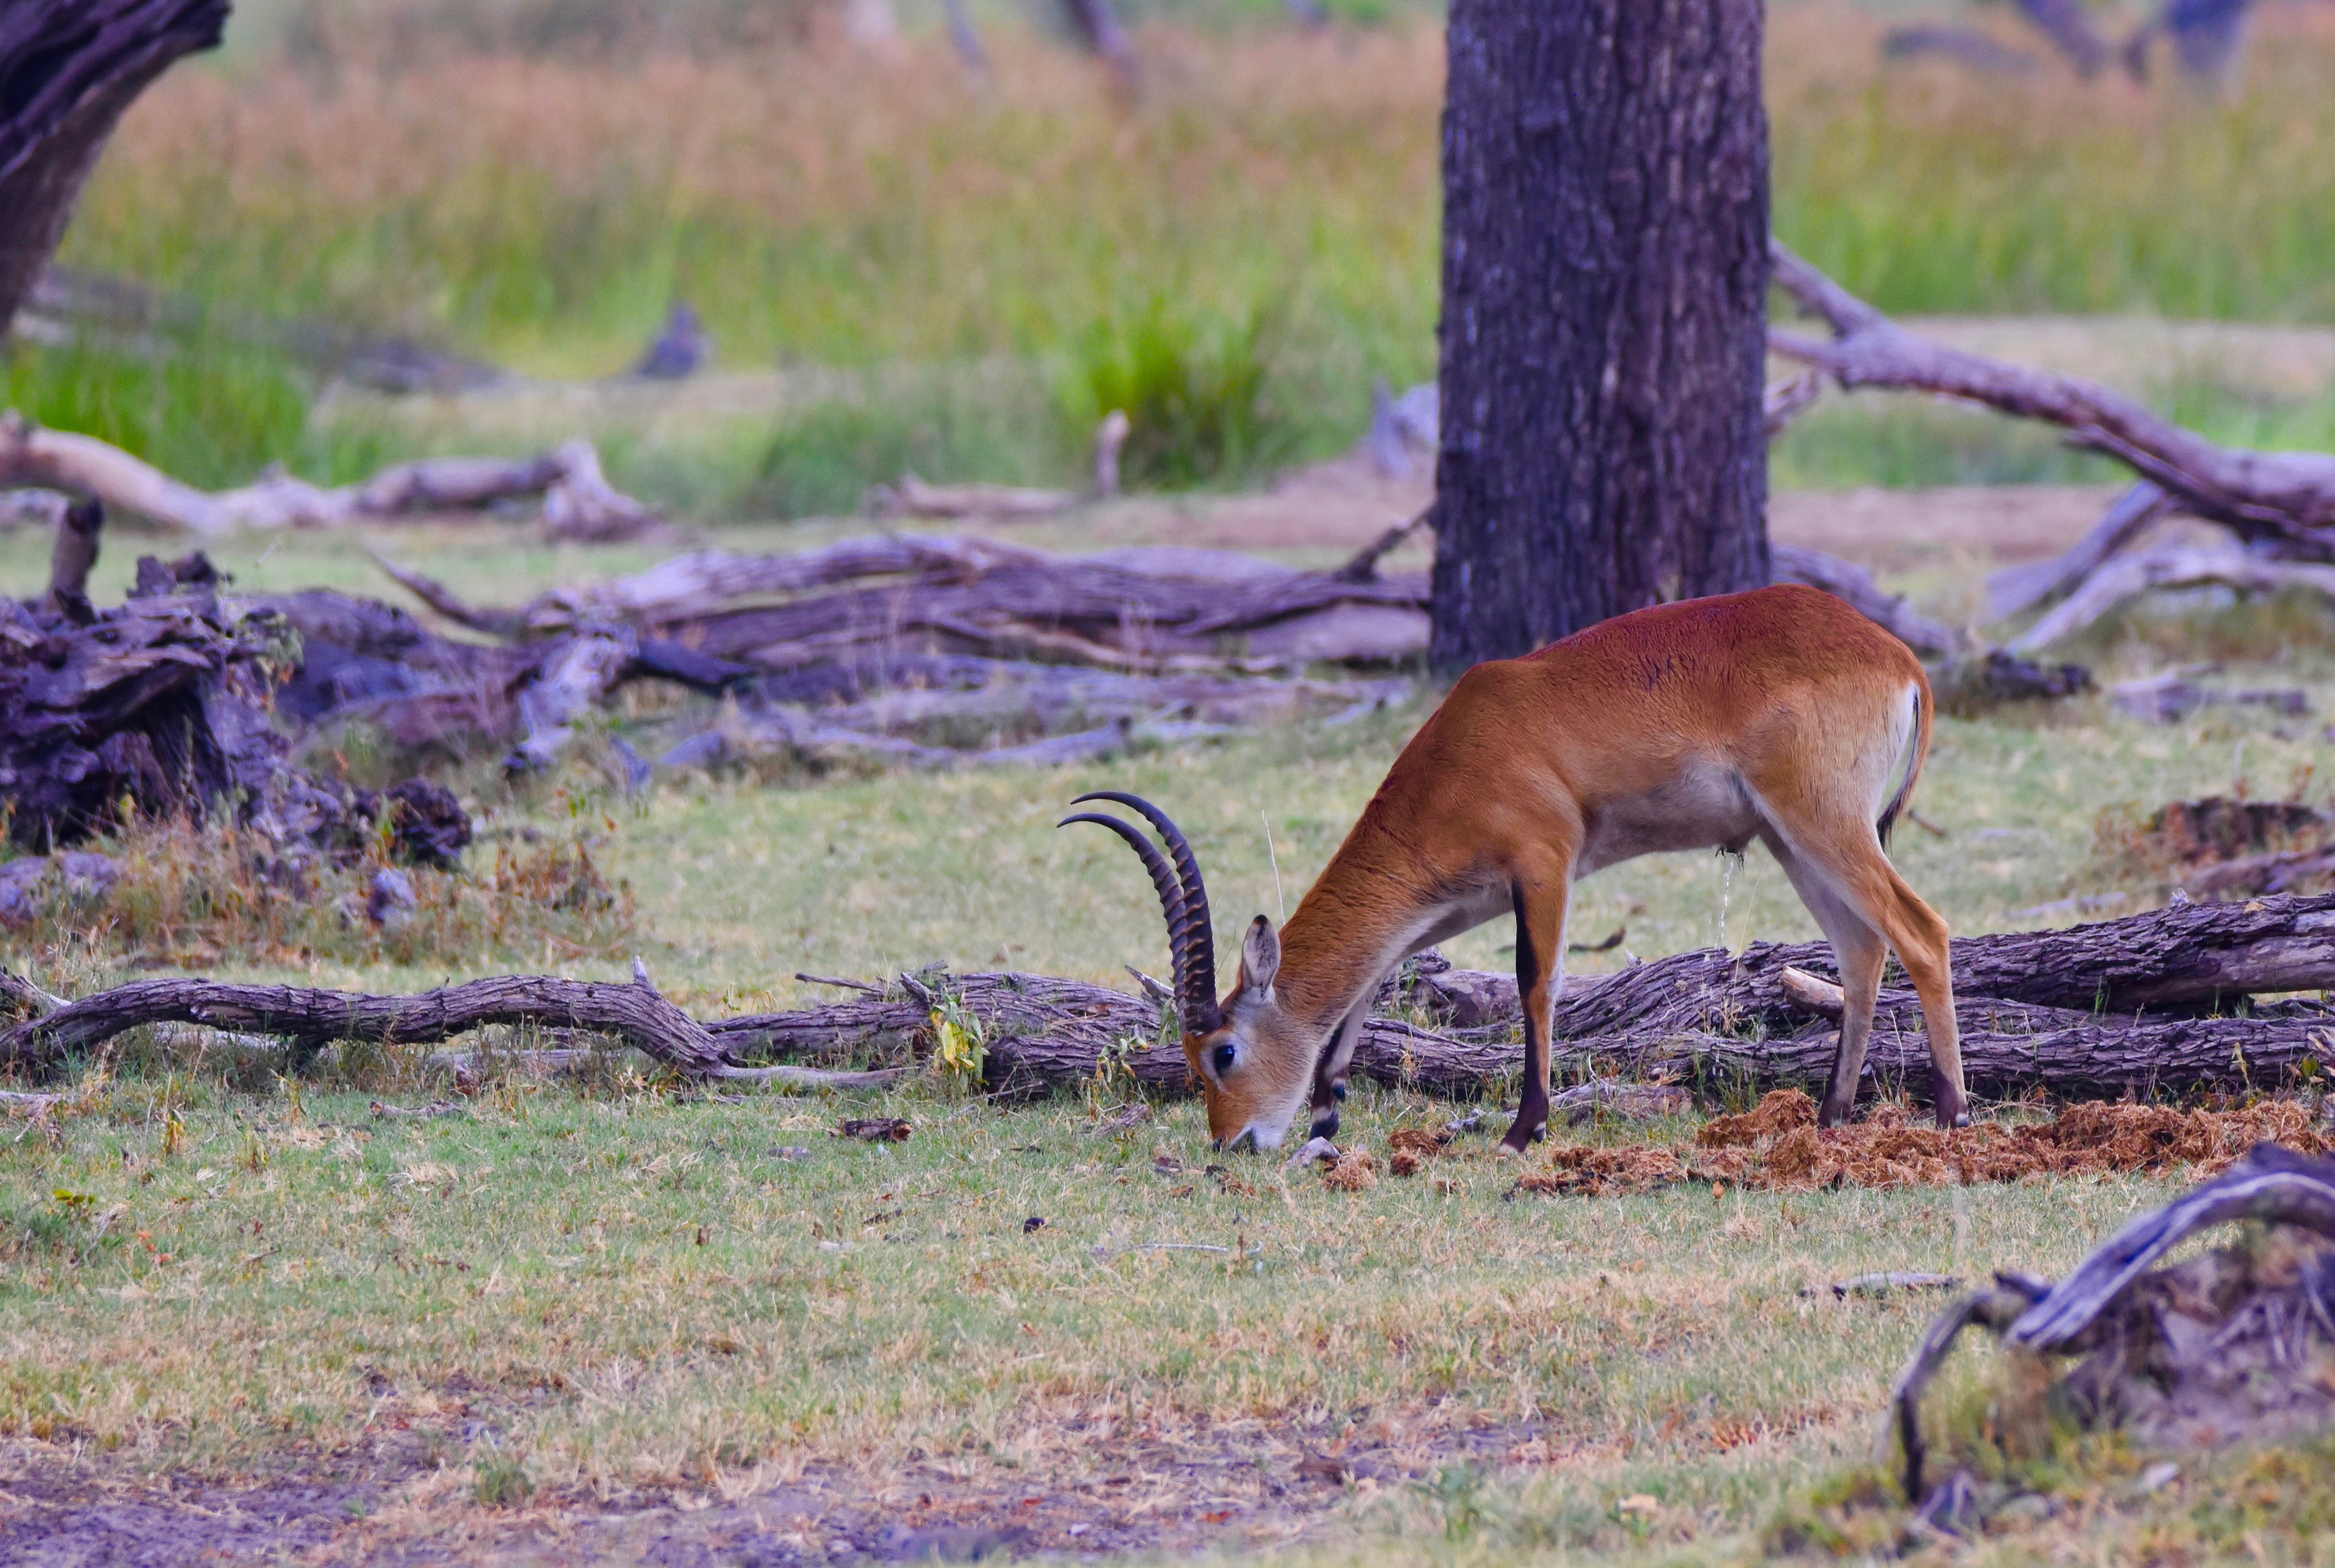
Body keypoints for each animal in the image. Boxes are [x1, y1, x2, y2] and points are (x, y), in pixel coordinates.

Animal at [1069, 586, 1961, 1152]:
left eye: (1222, 1052)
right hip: (1789, 839)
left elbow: (1537, 984)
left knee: (1923, 930)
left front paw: (1523, 1130)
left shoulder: (1544, 864)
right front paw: (1325, 1122)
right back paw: (1830, 1119)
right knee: (1861, 948)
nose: (1231, 1143)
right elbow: (1369, 985)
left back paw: (1952, 1116)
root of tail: (1895, 655)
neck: (1464, 749)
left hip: (1823, 824)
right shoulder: (1448, 906)